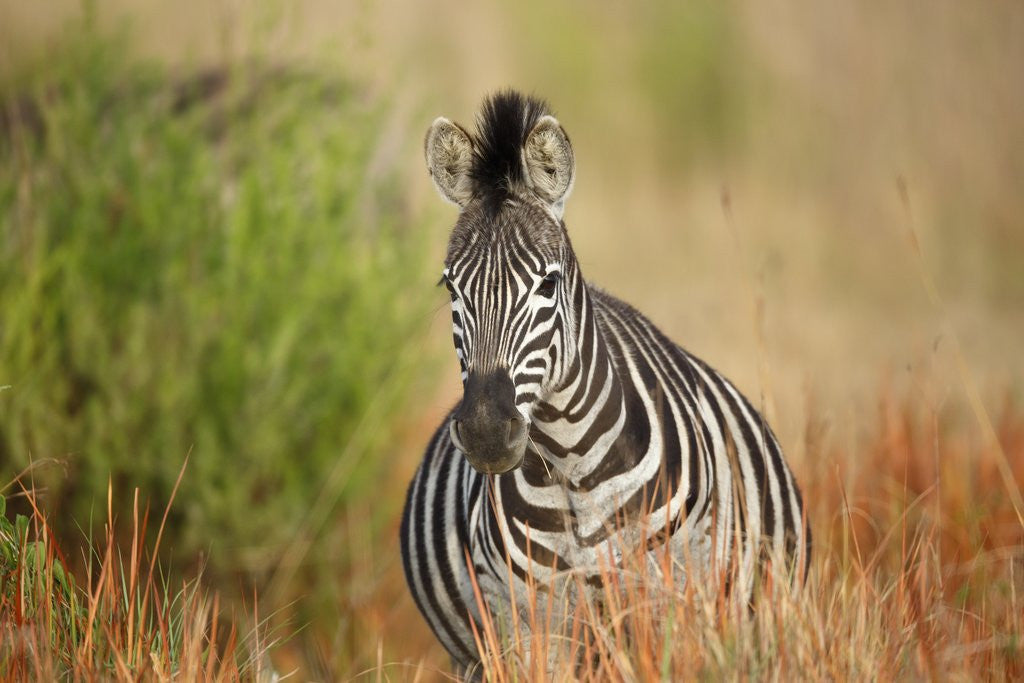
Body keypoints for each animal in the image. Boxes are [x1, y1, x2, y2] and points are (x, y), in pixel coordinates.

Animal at [400, 90, 810, 673]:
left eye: (547, 285)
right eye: (451, 288)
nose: (485, 432)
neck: (572, 468)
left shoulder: (666, 604)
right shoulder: (528, 623)